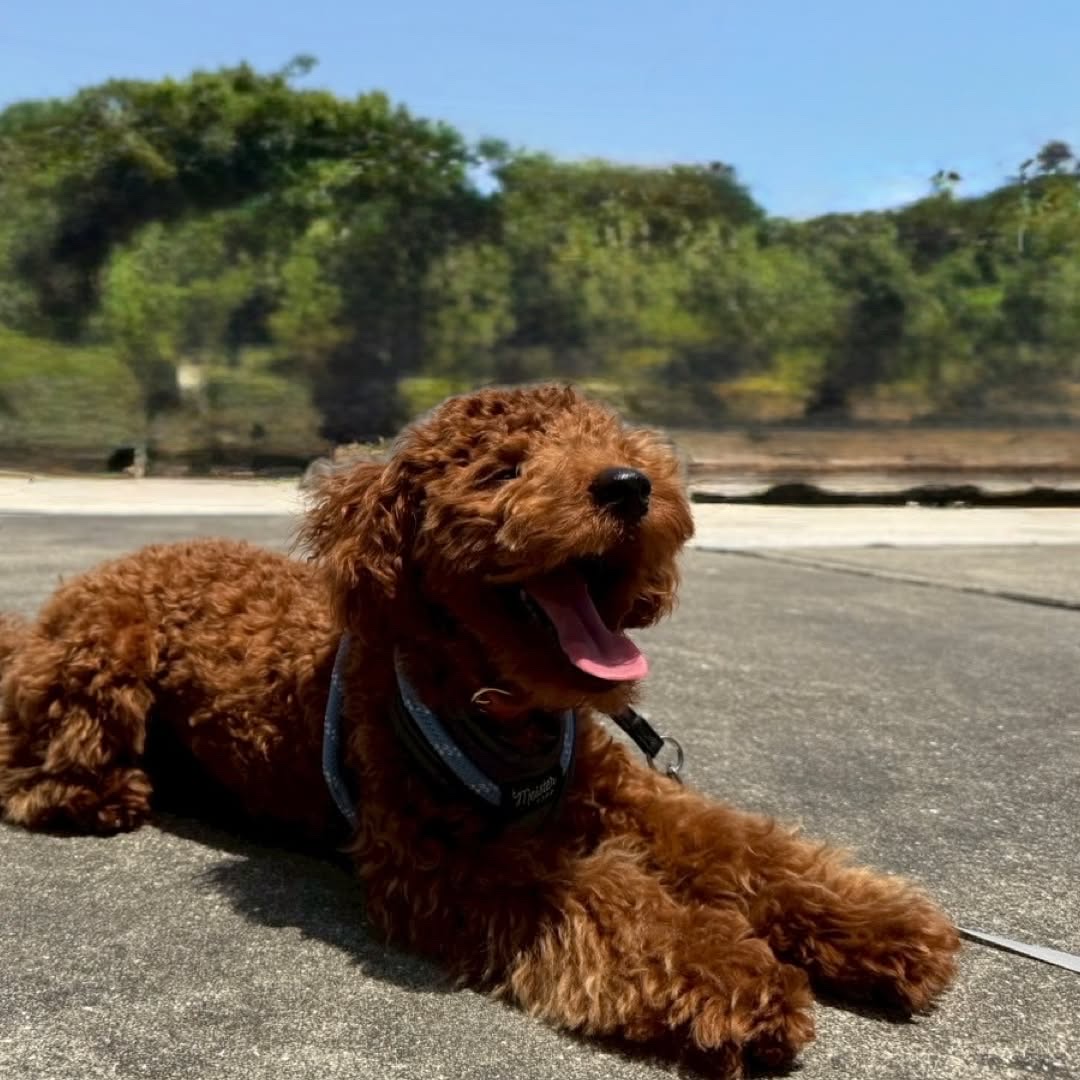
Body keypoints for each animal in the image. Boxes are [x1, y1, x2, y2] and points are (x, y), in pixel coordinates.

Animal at [0, 384, 959, 1076]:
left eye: (615, 446)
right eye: (503, 470)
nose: (630, 485)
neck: (502, 708)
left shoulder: (632, 797)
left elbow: (747, 848)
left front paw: (879, 928)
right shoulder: (444, 862)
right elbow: (616, 901)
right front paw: (741, 977)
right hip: (107, 655)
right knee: (36, 763)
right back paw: (103, 794)